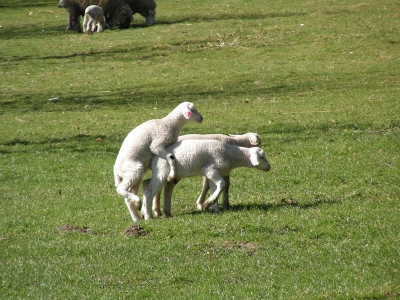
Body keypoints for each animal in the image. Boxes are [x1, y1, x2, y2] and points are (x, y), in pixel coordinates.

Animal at [142, 139, 270, 219]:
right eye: (262, 157)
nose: (269, 167)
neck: (230, 155)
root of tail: (154, 157)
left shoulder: (212, 172)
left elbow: (215, 187)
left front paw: (214, 208)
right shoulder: (210, 169)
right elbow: (222, 184)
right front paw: (208, 203)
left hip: (173, 175)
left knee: (157, 186)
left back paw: (165, 213)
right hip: (162, 170)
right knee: (149, 191)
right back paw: (148, 216)